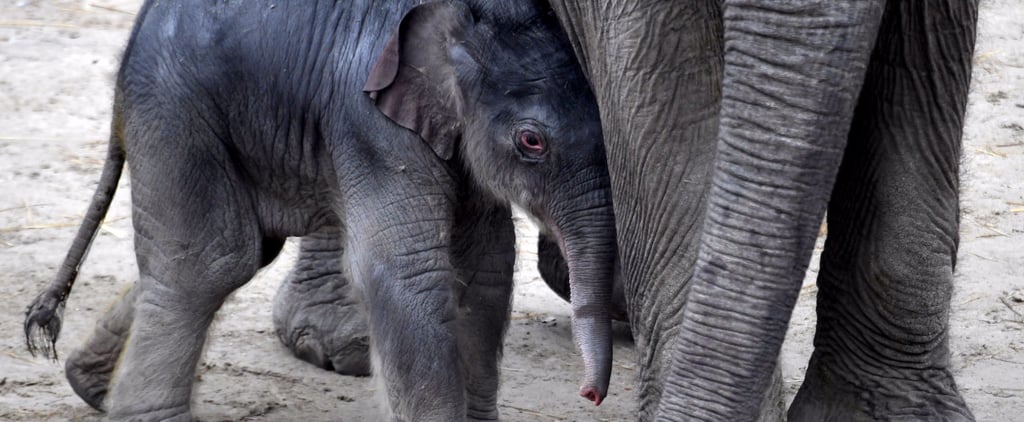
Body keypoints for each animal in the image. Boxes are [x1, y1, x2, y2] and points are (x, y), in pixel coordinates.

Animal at [23, 0, 617, 420]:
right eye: (531, 141)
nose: (589, 395)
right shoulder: (372, 123)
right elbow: (407, 274)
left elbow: (487, 271)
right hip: (177, 112)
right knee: (210, 261)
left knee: (239, 255)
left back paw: (89, 386)